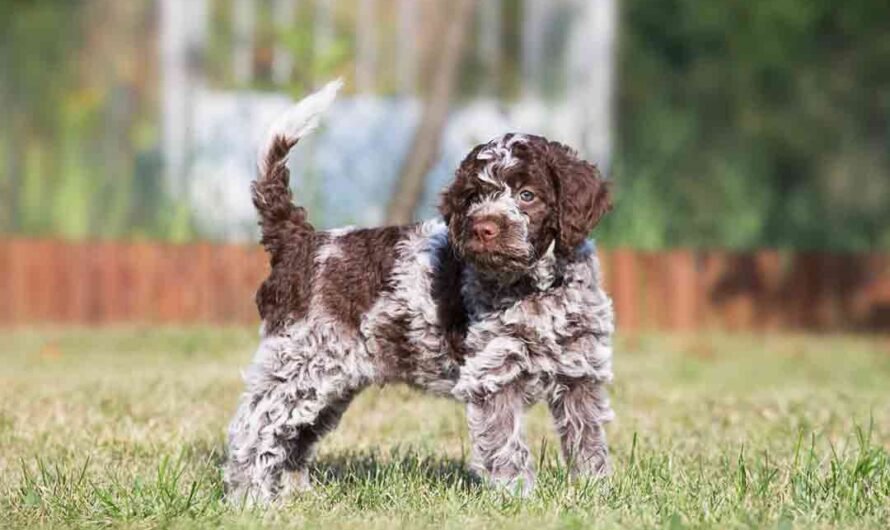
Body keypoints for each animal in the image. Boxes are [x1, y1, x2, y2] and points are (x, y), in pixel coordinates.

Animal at [224, 80, 612, 502]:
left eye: (528, 195)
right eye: (474, 198)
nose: (484, 228)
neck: (536, 288)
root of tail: (300, 239)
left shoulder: (580, 374)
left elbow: (587, 438)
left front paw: (594, 492)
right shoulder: (493, 377)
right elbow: (506, 444)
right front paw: (516, 497)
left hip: (331, 375)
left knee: (294, 435)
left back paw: (295, 494)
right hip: (299, 360)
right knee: (254, 427)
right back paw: (251, 498)